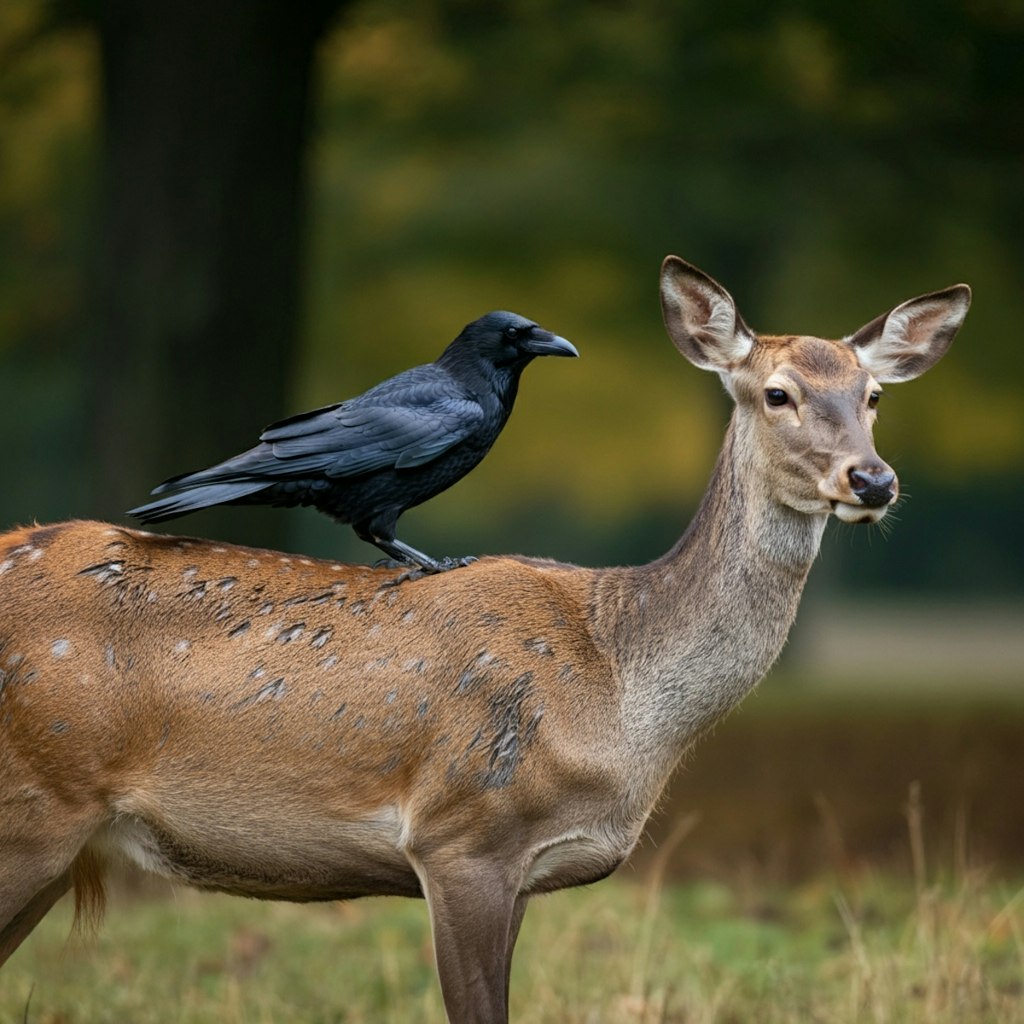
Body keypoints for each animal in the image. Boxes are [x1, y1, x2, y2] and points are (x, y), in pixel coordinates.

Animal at [0, 256, 966, 1015]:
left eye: (874, 395)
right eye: (777, 393)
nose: (872, 480)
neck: (618, 685)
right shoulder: (463, 834)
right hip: (32, 807)